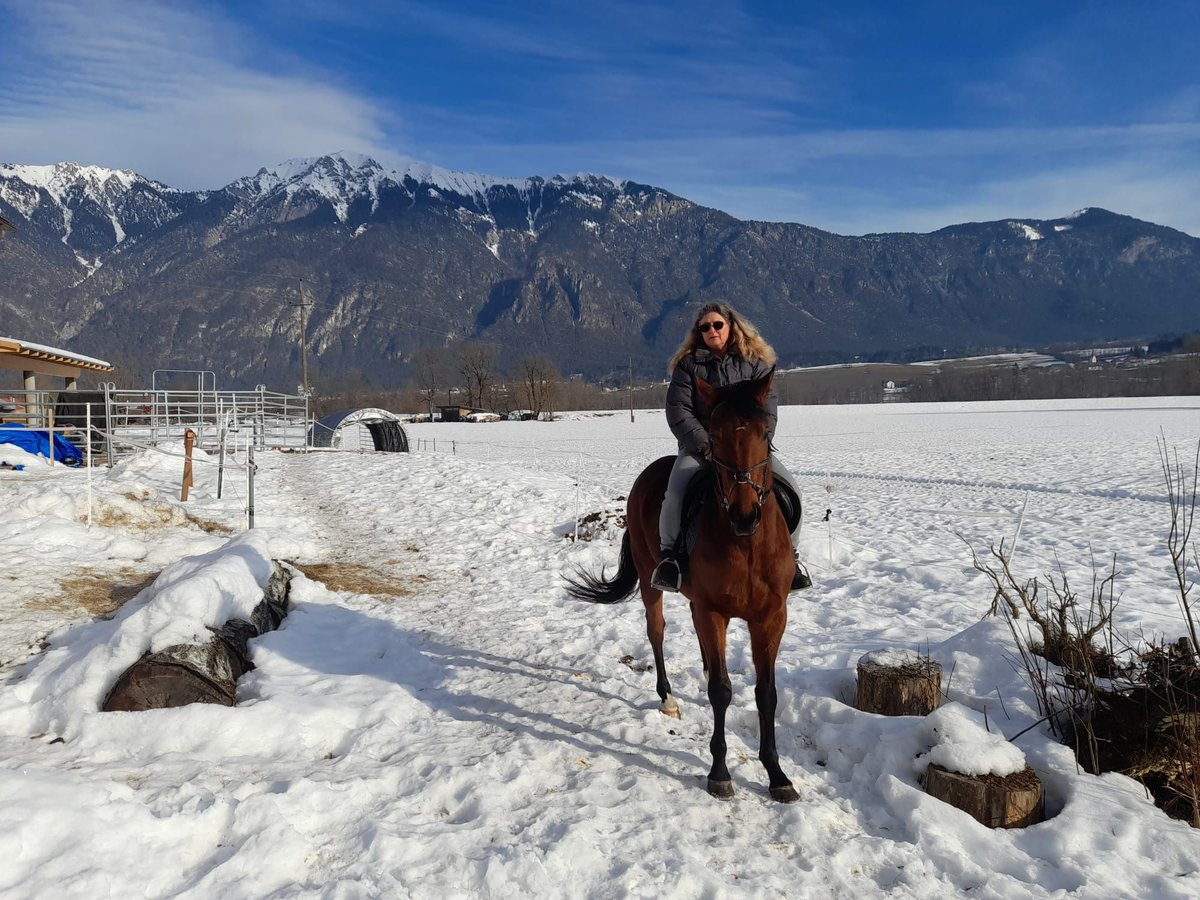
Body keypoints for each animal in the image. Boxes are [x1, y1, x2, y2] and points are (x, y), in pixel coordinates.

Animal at [568, 372, 801, 801]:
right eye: (715, 435)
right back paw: (668, 698)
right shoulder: (713, 611)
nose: (745, 516)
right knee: (657, 632)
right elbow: (722, 690)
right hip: (652, 582)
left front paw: (777, 774)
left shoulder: (771, 617)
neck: (746, 544)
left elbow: (767, 693)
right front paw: (720, 772)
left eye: (765, 432)